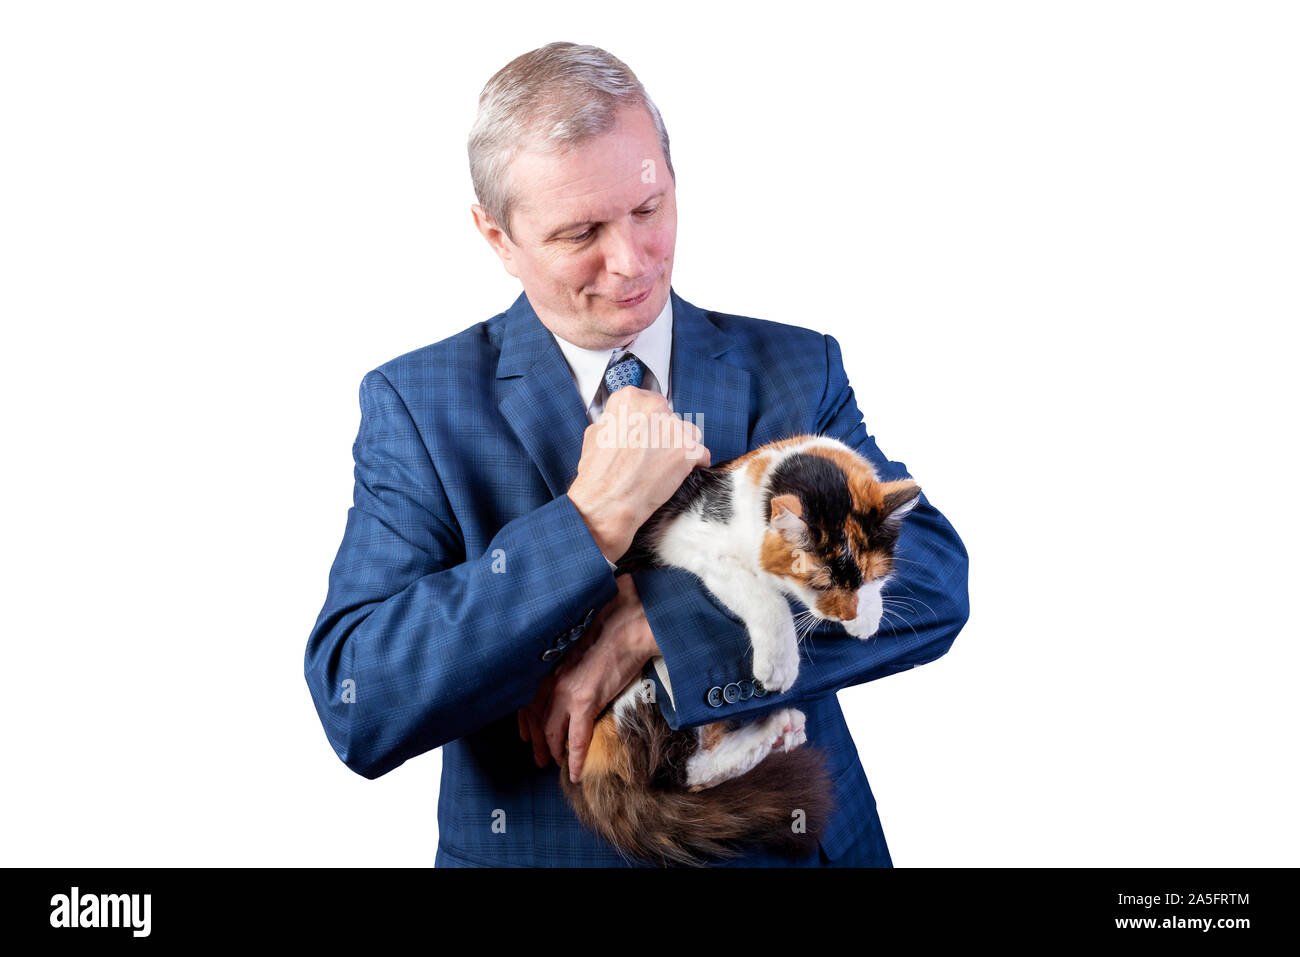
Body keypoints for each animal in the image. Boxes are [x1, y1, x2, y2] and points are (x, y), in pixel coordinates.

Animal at [559, 434, 925, 868]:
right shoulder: (692, 544)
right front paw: (780, 664)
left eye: (869, 576)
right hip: (642, 696)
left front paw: (867, 616)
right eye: (819, 584)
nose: (846, 613)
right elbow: (763, 594)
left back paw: (780, 729)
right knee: (683, 771)